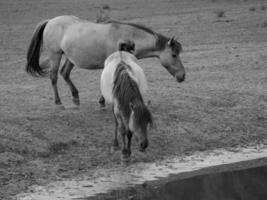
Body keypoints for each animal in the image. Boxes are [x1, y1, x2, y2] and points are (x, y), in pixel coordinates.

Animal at [25, 15, 186, 108]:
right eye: (174, 55)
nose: (183, 75)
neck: (123, 36)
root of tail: (50, 21)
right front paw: (104, 101)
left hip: (70, 58)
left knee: (64, 74)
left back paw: (75, 97)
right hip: (56, 56)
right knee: (53, 77)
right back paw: (58, 102)